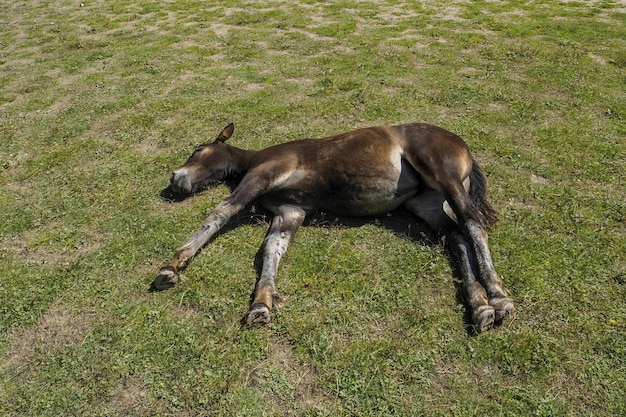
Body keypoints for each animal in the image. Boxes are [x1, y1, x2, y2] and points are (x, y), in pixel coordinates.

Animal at [152, 121, 512, 332]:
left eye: (198, 150)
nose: (174, 178)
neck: (254, 159)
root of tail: (462, 146)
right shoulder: (290, 211)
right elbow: (272, 249)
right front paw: (261, 304)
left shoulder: (262, 175)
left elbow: (221, 212)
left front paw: (172, 266)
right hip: (427, 203)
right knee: (457, 236)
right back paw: (480, 306)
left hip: (441, 173)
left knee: (473, 223)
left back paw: (498, 297)